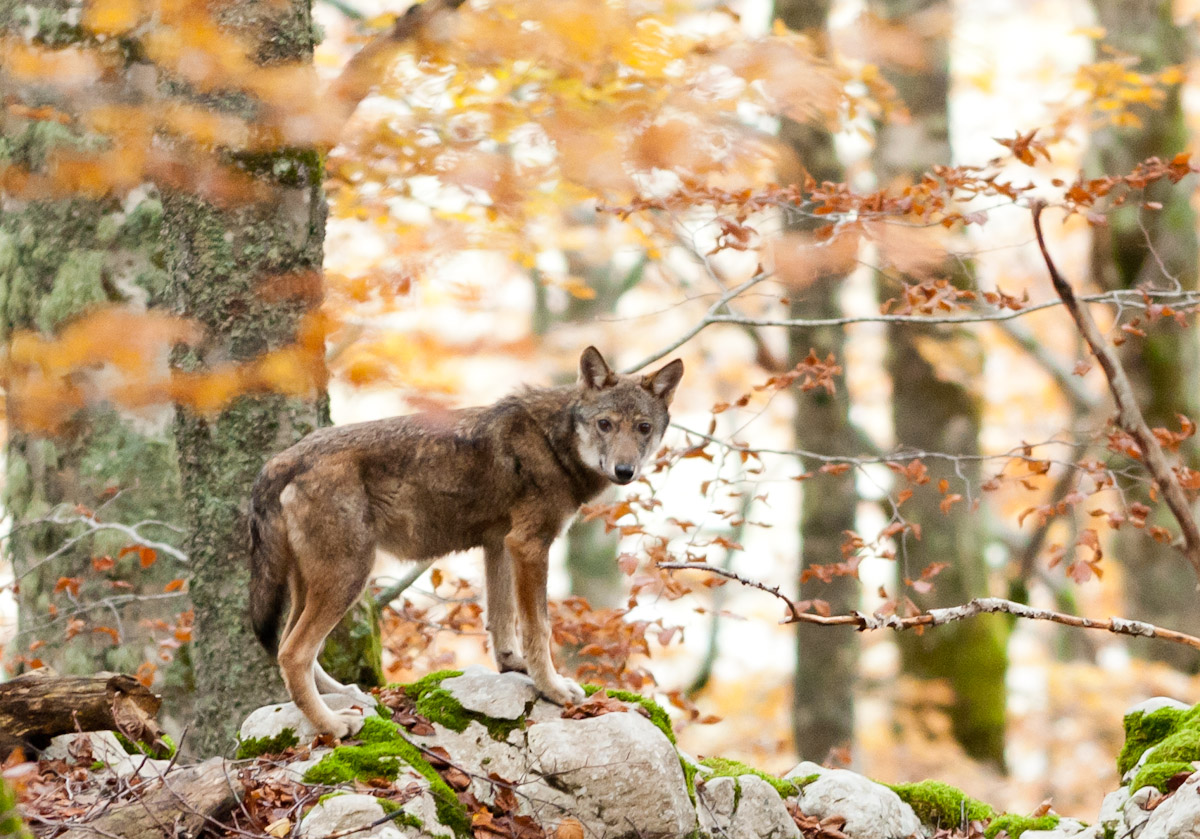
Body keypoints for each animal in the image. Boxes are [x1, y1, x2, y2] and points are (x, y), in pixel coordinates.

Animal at [248, 346, 684, 737]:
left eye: (643, 428)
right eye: (605, 424)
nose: (625, 470)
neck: (552, 442)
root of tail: (279, 461)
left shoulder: (501, 545)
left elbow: (502, 619)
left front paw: (514, 666)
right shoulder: (530, 545)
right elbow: (538, 627)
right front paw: (553, 690)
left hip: (315, 585)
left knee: (289, 648)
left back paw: (346, 695)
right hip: (348, 578)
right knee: (293, 654)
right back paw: (333, 725)